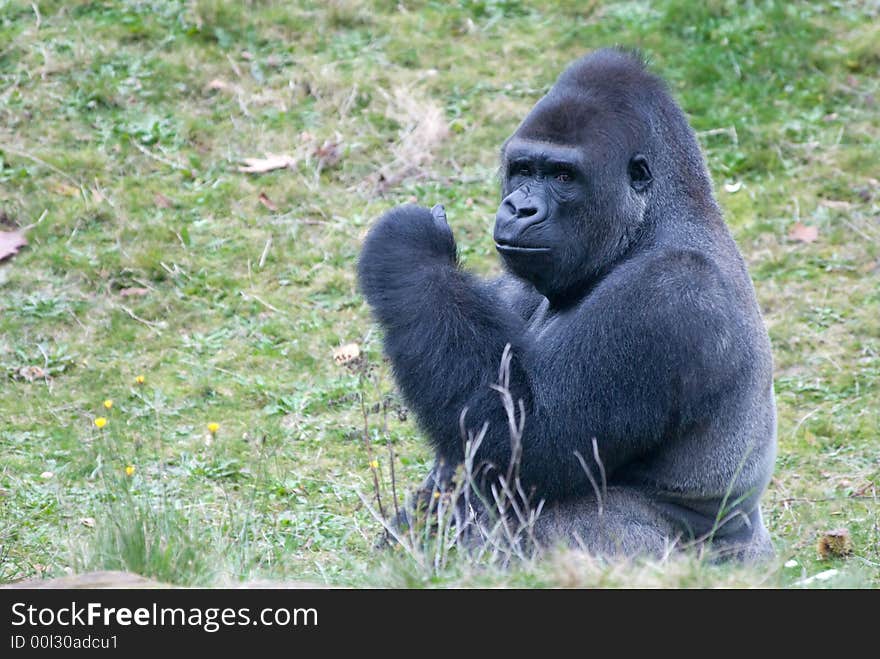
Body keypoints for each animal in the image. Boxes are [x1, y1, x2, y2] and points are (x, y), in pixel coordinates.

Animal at [358, 49, 776, 560]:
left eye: (562, 175)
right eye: (522, 170)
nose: (520, 209)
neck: (648, 225)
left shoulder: (670, 292)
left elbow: (528, 443)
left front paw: (406, 247)